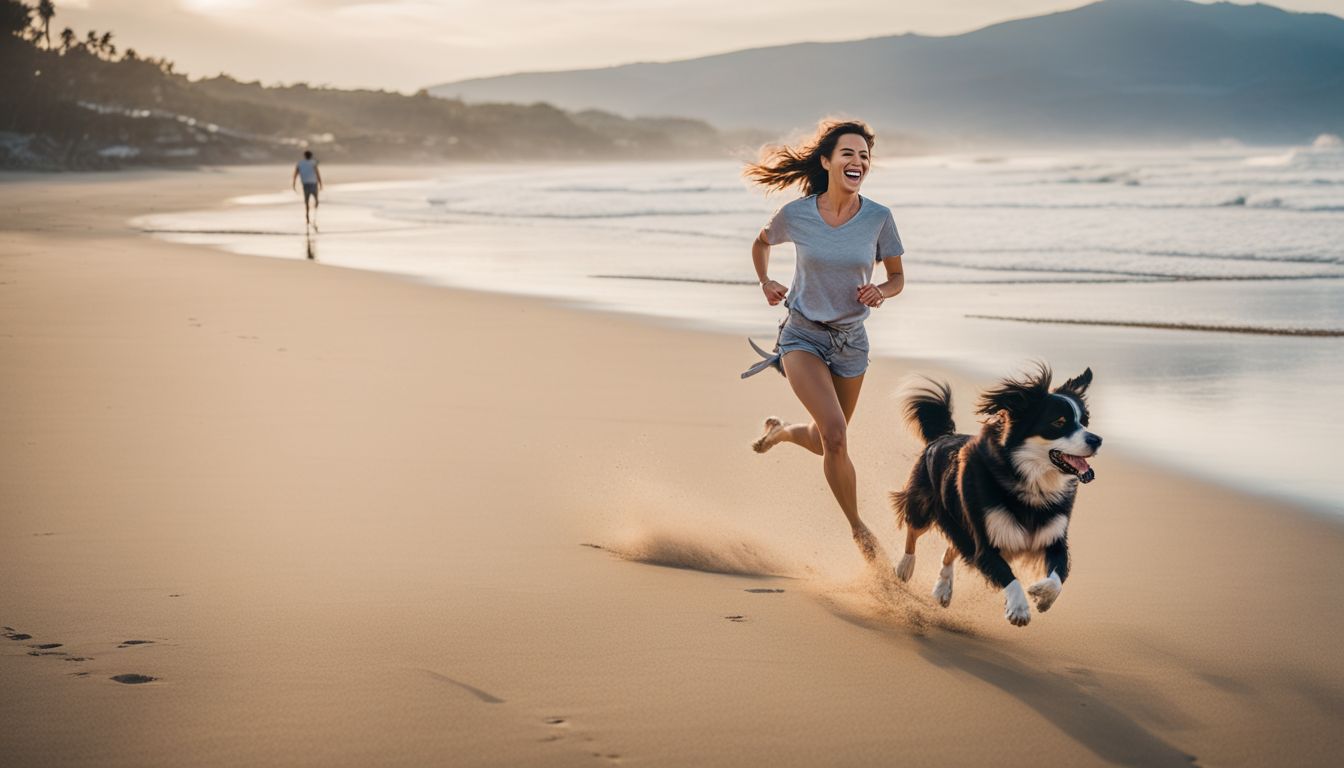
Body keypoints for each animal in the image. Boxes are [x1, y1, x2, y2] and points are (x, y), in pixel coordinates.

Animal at [887, 368, 1096, 626]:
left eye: (1084, 422)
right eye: (1059, 422)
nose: (1097, 440)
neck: (1029, 481)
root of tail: (943, 436)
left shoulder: (1054, 539)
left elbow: (1059, 575)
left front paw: (1042, 595)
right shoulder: (986, 541)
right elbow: (1007, 575)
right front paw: (1019, 607)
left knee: (951, 550)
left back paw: (943, 588)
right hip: (925, 506)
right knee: (913, 531)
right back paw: (905, 567)